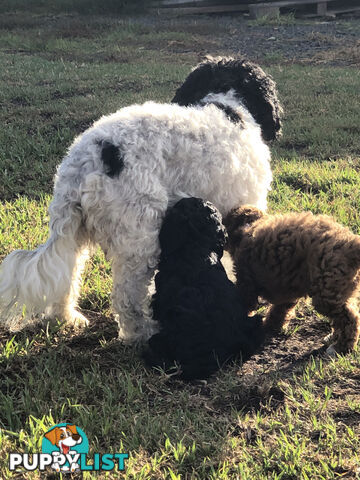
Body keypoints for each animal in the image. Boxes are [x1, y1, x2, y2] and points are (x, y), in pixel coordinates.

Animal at [0, 56, 282, 342]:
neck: (229, 106)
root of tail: (87, 160)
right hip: (139, 236)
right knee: (127, 296)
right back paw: (142, 332)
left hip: (75, 233)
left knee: (67, 276)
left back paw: (66, 318)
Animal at [224, 204, 360, 354]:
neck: (249, 227)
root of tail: (351, 243)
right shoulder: (288, 288)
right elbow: (280, 309)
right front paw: (271, 325)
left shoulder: (246, 279)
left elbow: (246, 304)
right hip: (340, 287)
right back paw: (333, 337)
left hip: (327, 289)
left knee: (350, 318)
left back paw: (340, 348)